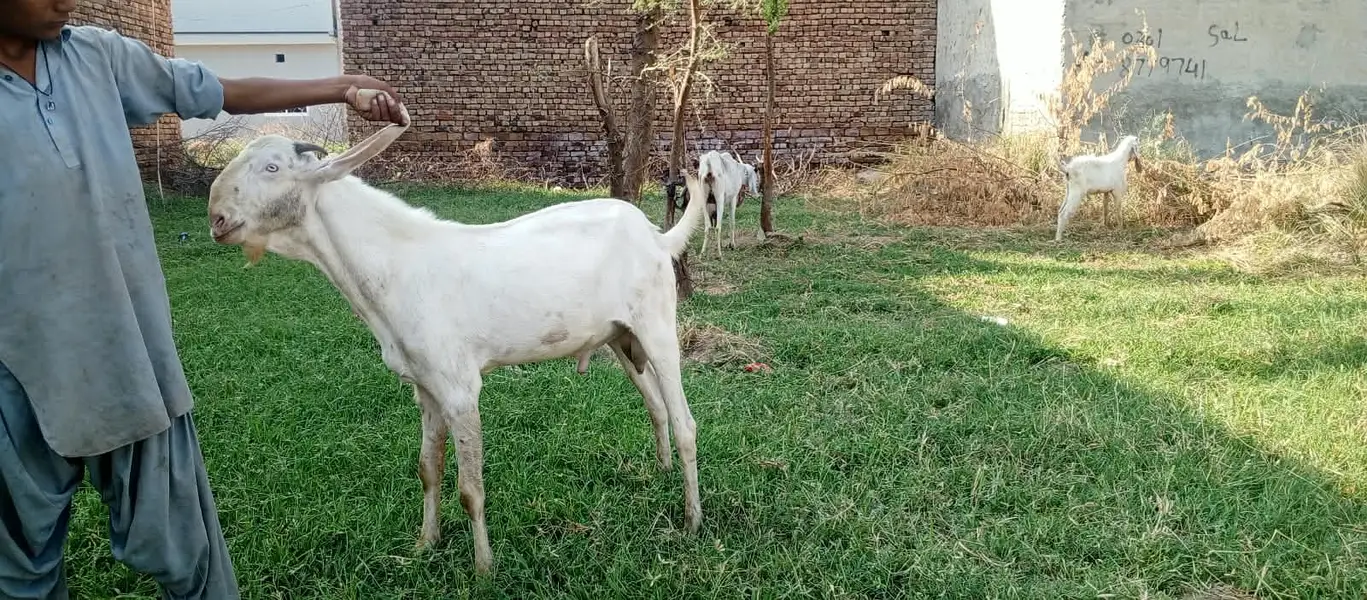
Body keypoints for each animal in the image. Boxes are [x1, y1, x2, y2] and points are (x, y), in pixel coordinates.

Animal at [206, 94, 708, 575]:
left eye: (272, 168)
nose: (217, 219)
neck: (395, 264)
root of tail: (656, 237)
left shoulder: (460, 387)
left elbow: (471, 488)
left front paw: (484, 568)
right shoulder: (425, 385)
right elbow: (428, 468)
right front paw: (425, 544)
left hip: (657, 324)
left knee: (684, 422)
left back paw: (692, 520)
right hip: (621, 337)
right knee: (655, 405)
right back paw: (662, 472)